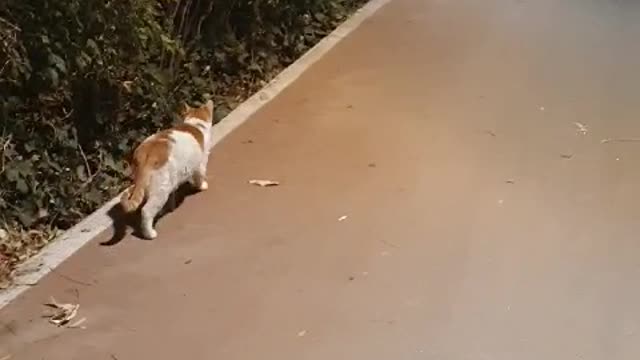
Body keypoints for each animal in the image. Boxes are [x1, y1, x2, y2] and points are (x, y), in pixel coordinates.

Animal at [117, 100, 212, 239]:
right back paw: (150, 234)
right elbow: (200, 176)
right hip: (161, 189)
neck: (194, 123)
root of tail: (146, 152)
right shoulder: (201, 163)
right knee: (146, 211)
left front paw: (172, 205)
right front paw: (202, 186)